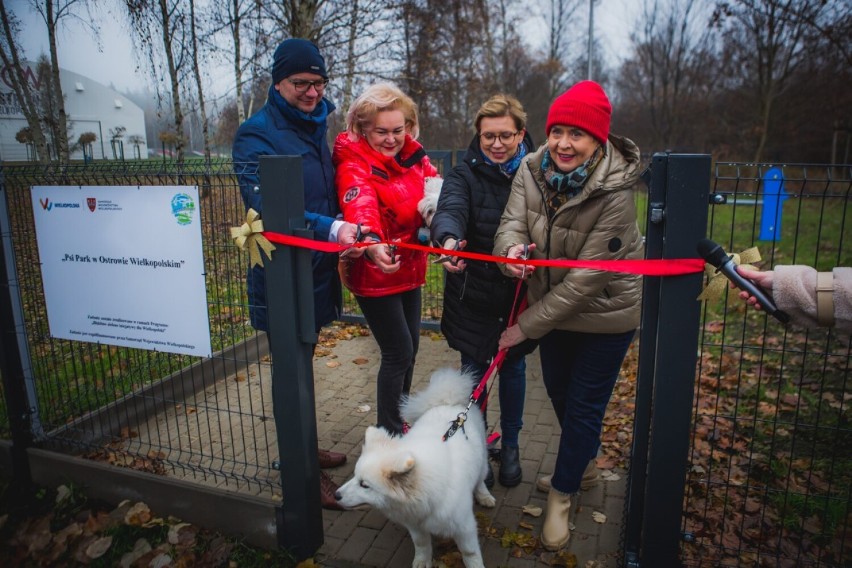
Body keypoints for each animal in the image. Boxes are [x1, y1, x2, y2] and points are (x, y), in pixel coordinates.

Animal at [334, 368, 496, 568]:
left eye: (365, 485)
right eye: (355, 477)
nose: (336, 495)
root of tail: (450, 404)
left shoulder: (464, 526)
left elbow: (469, 552)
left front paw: (475, 565)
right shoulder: (415, 525)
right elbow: (422, 544)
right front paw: (422, 562)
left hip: (482, 463)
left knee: (481, 480)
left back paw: (485, 496)